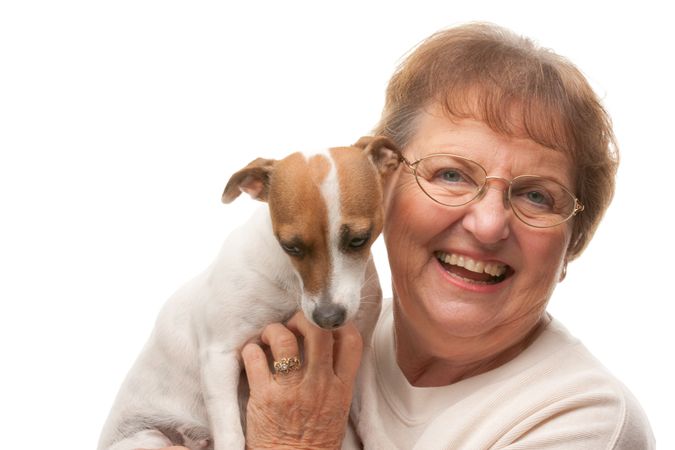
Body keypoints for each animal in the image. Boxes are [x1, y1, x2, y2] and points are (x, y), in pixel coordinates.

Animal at [96, 135, 402, 448]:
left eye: (359, 240)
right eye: (290, 246)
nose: (328, 318)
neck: (294, 288)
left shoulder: (360, 353)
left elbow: (369, 417)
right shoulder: (219, 357)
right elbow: (231, 434)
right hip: (148, 438)